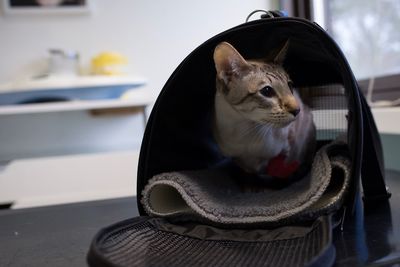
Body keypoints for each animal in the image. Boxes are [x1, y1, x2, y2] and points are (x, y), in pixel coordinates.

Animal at [211, 42, 318, 179]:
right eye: (267, 91)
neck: (247, 130)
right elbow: (250, 171)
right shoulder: (238, 159)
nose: (297, 110)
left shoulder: (287, 145)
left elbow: (283, 161)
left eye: (290, 85)